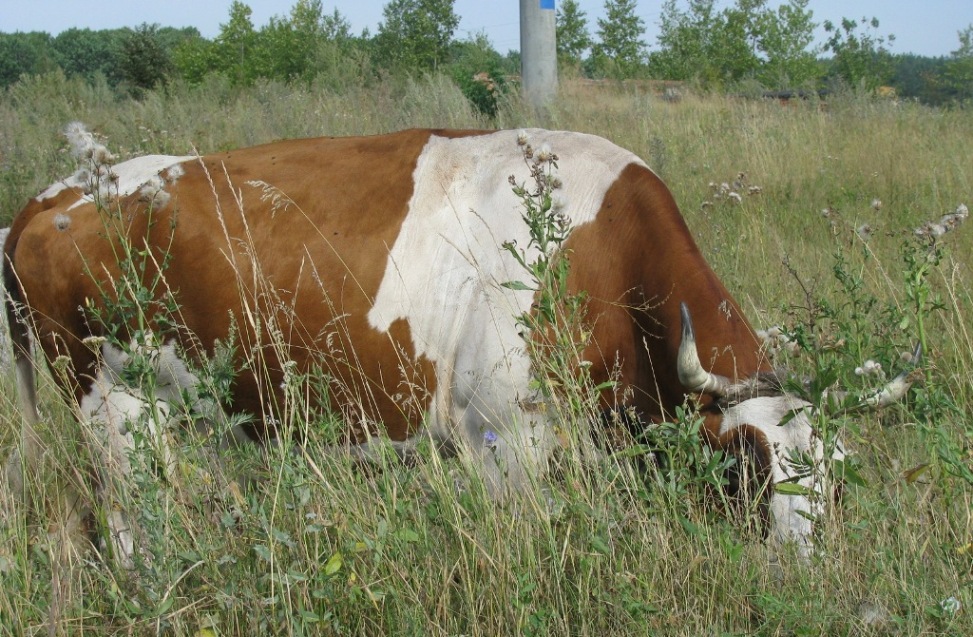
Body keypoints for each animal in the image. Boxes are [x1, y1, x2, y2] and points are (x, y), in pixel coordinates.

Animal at [1, 123, 912, 556]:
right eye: (749, 468)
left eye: (837, 474)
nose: (805, 563)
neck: (599, 251)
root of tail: (59, 191)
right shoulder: (501, 440)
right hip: (113, 410)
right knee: (127, 527)